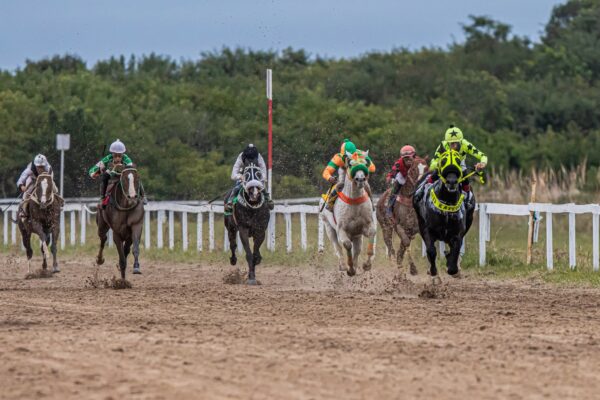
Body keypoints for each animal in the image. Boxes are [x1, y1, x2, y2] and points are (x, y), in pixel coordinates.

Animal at [318, 148, 376, 276]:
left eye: (365, 163)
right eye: (350, 164)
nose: (360, 179)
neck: (354, 203)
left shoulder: (366, 226)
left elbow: (371, 235)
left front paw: (366, 265)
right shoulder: (342, 229)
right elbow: (347, 245)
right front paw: (350, 268)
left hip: (357, 235)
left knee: (357, 249)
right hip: (328, 226)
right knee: (337, 247)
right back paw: (343, 266)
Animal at [412, 148, 482, 280]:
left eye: (458, 160)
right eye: (443, 160)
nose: (452, 181)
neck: (446, 207)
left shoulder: (457, 233)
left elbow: (454, 255)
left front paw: (453, 266)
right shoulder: (426, 229)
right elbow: (431, 251)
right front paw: (433, 272)